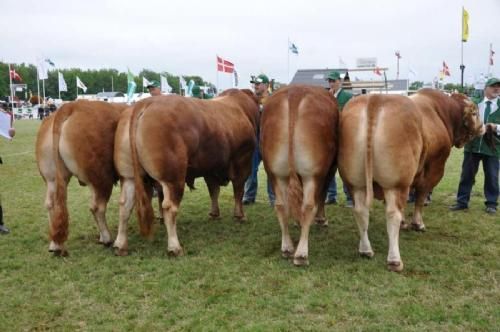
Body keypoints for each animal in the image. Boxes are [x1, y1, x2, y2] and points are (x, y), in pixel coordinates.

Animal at [35, 100, 127, 255]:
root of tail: (71, 106)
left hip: (52, 178)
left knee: (51, 204)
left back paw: (54, 244)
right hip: (101, 178)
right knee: (97, 207)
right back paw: (106, 238)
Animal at [338, 89, 482, 272]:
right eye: (475, 113)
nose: (483, 127)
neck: (442, 113)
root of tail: (376, 98)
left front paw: (405, 223)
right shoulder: (433, 170)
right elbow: (420, 198)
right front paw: (418, 224)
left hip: (356, 183)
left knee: (361, 211)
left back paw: (365, 250)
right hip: (396, 183)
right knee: (392, 213)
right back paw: (394, 260)